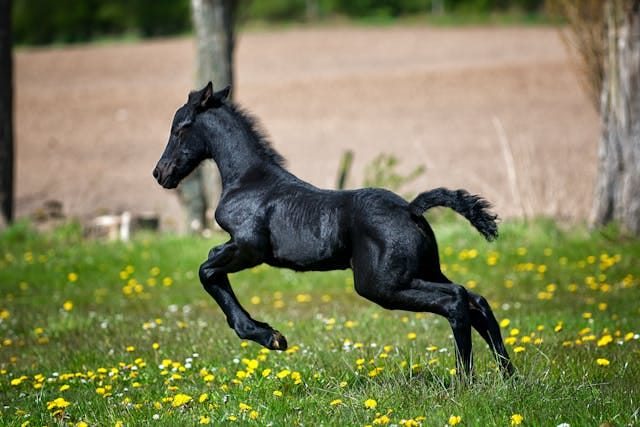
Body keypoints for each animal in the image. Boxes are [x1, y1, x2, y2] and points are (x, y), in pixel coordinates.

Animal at [153, 82, 514, 378]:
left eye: (179, 128)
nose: (160, 173)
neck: (249, 180)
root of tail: (411, 209)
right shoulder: (239, 248)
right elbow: (211, 266)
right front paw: (269, 334)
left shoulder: (249, 248)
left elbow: (207, 270)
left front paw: (270, 336)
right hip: (421, 271)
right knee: (476, 300)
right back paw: (507, 376)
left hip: (382, 284)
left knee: (456, 300)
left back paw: (465, 380)